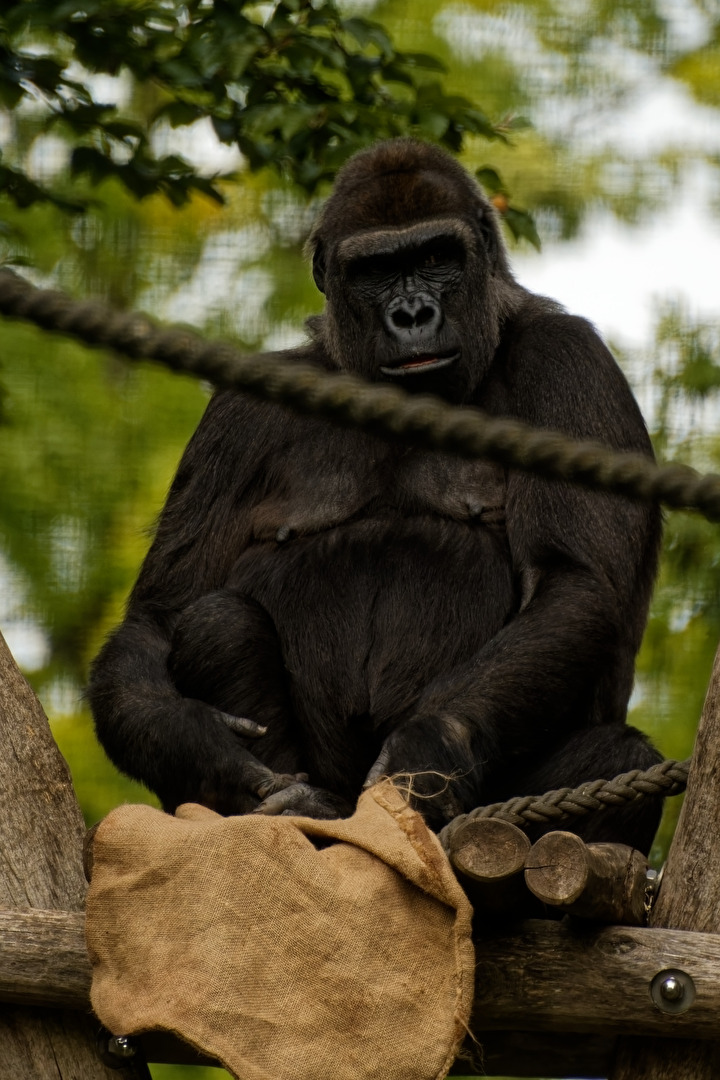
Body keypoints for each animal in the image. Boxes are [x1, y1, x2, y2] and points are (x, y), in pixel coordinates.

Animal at [88, 138, 663, 850]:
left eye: (437, 258)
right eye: (377, 269)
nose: (412, 315)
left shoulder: (569, 361)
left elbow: (571, 578)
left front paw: (431, 750)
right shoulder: (240, 413)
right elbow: (161, 615)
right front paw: (199, 747)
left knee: (619, 757)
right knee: (215, 621)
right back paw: (295, 808)